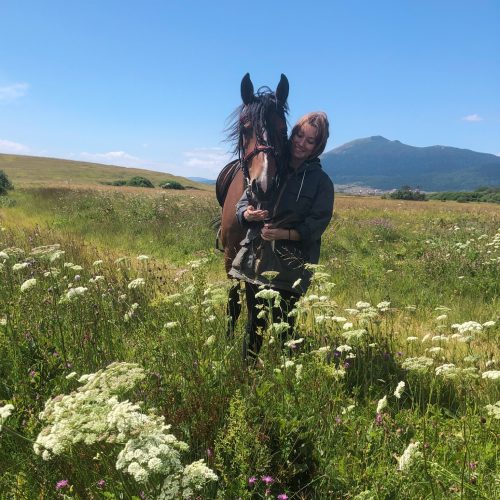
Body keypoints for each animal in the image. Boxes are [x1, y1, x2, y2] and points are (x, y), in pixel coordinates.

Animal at [217, 73, 292, 336]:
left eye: (283, 130)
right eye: (245, 127)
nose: (265, 185)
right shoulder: (230, 257)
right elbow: (235, 303)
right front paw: (229, 336)